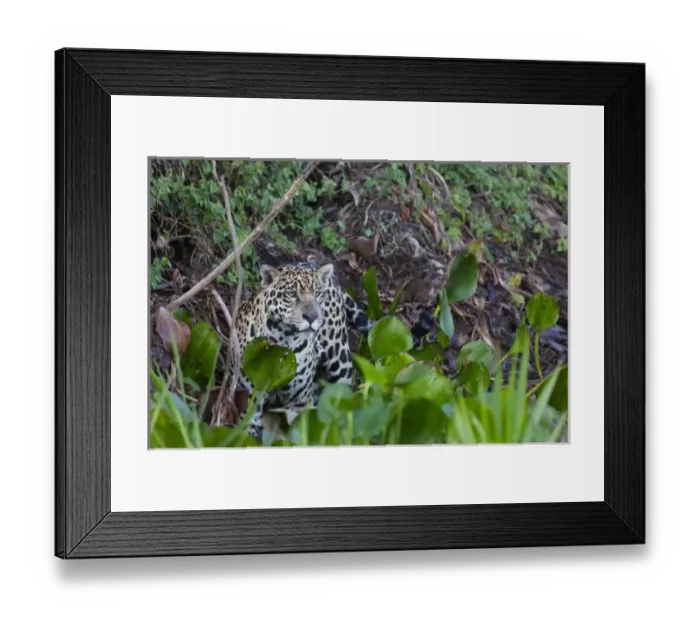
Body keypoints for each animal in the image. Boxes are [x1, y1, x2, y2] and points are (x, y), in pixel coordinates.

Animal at [233, 260, 433, 439]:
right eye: (292, 294)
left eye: (317, 294)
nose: (312, 316)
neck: (284, 340)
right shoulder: (249, 398)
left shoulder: (298, 403)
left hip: (340, 363)